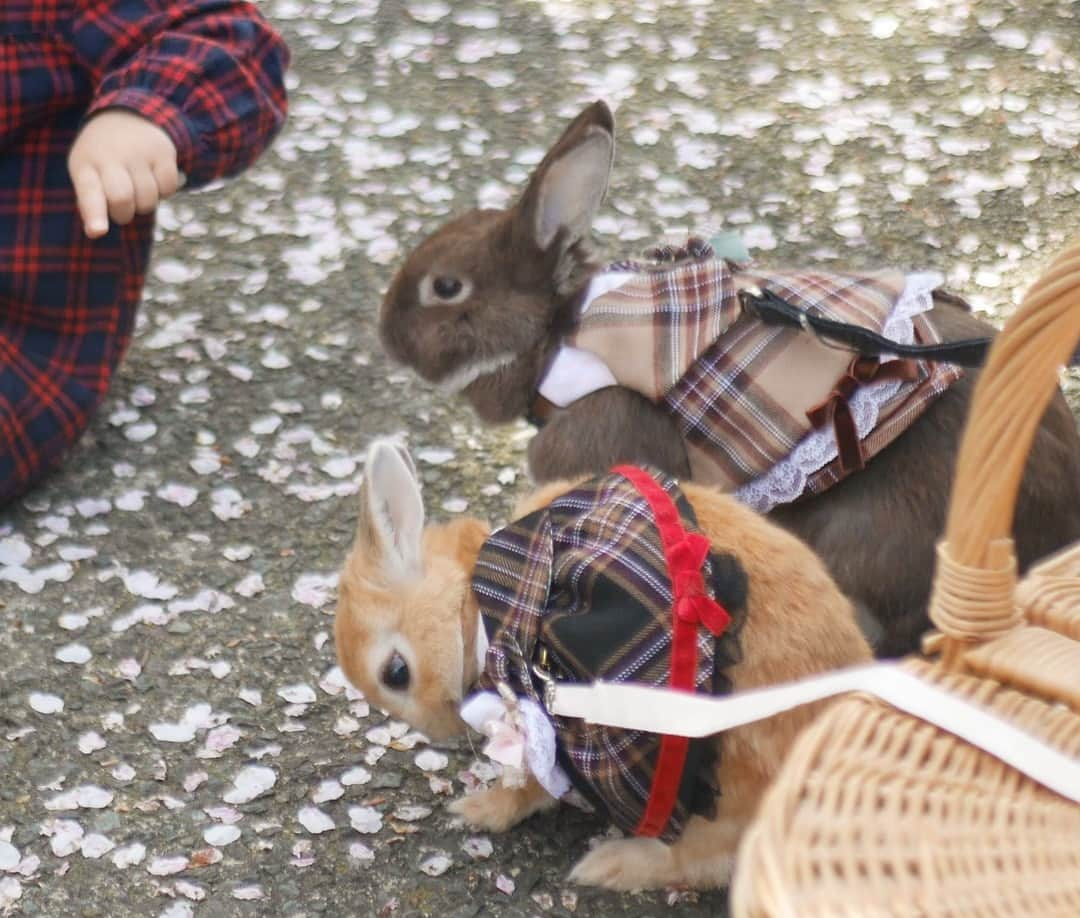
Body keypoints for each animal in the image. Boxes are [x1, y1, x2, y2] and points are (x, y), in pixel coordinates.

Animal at [332, 436, 872, 885]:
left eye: (396, 673)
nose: (440, 729)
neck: (478, 601)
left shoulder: (547, 727)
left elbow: (530, 787)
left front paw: (478, 810)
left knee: (704, 858)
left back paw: (609, 865)